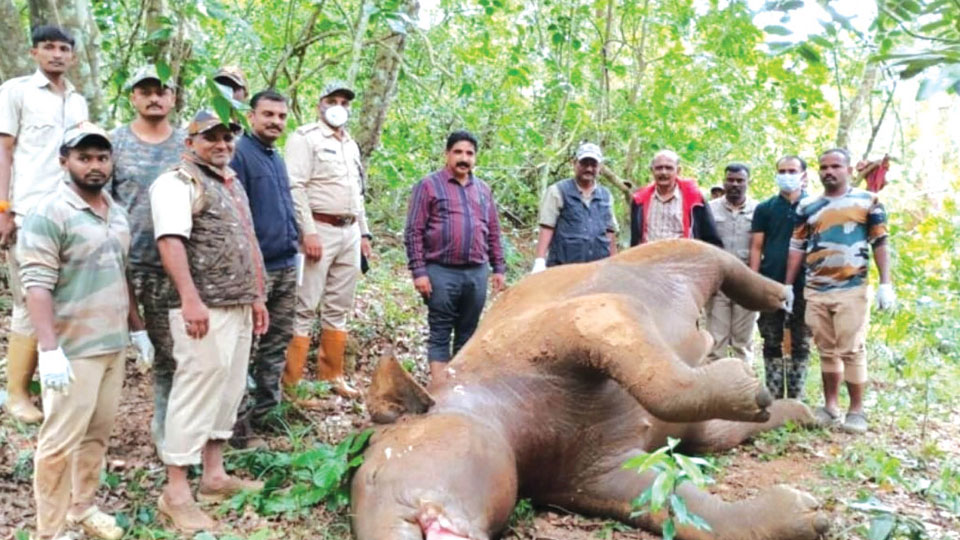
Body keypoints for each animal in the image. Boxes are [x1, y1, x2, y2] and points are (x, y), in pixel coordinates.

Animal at [351, 239, 829, 540]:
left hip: (675, 252)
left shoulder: (588, 317)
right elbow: (679, 507)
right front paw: (808, 516)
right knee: (721, 434)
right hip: (697, 428)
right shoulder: (593, 477)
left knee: (724, 262)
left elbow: (656, 377)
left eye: (372, 474)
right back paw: (800, 414)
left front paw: (743, 381)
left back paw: (780, 296)